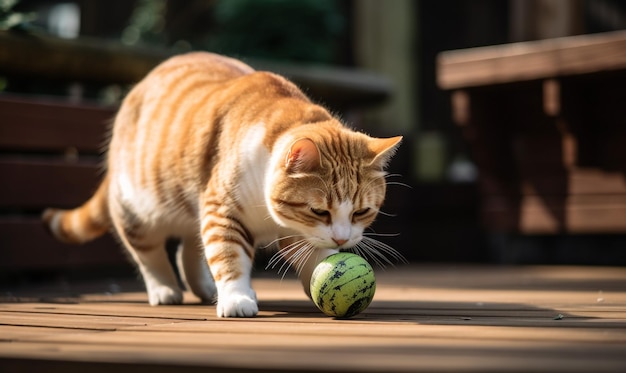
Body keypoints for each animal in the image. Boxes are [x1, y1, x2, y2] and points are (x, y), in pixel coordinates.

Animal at [42, 50, 400, 316]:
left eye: (361, 212)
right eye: (319, 211)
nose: (342, 240)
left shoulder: (294, 229)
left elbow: (312, 254)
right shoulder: (222, 208)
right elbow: (227, 254)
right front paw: (236, 297)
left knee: (189, 246)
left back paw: (203, 288)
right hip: (138, 209)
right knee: (148, 253)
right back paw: (165, 289)